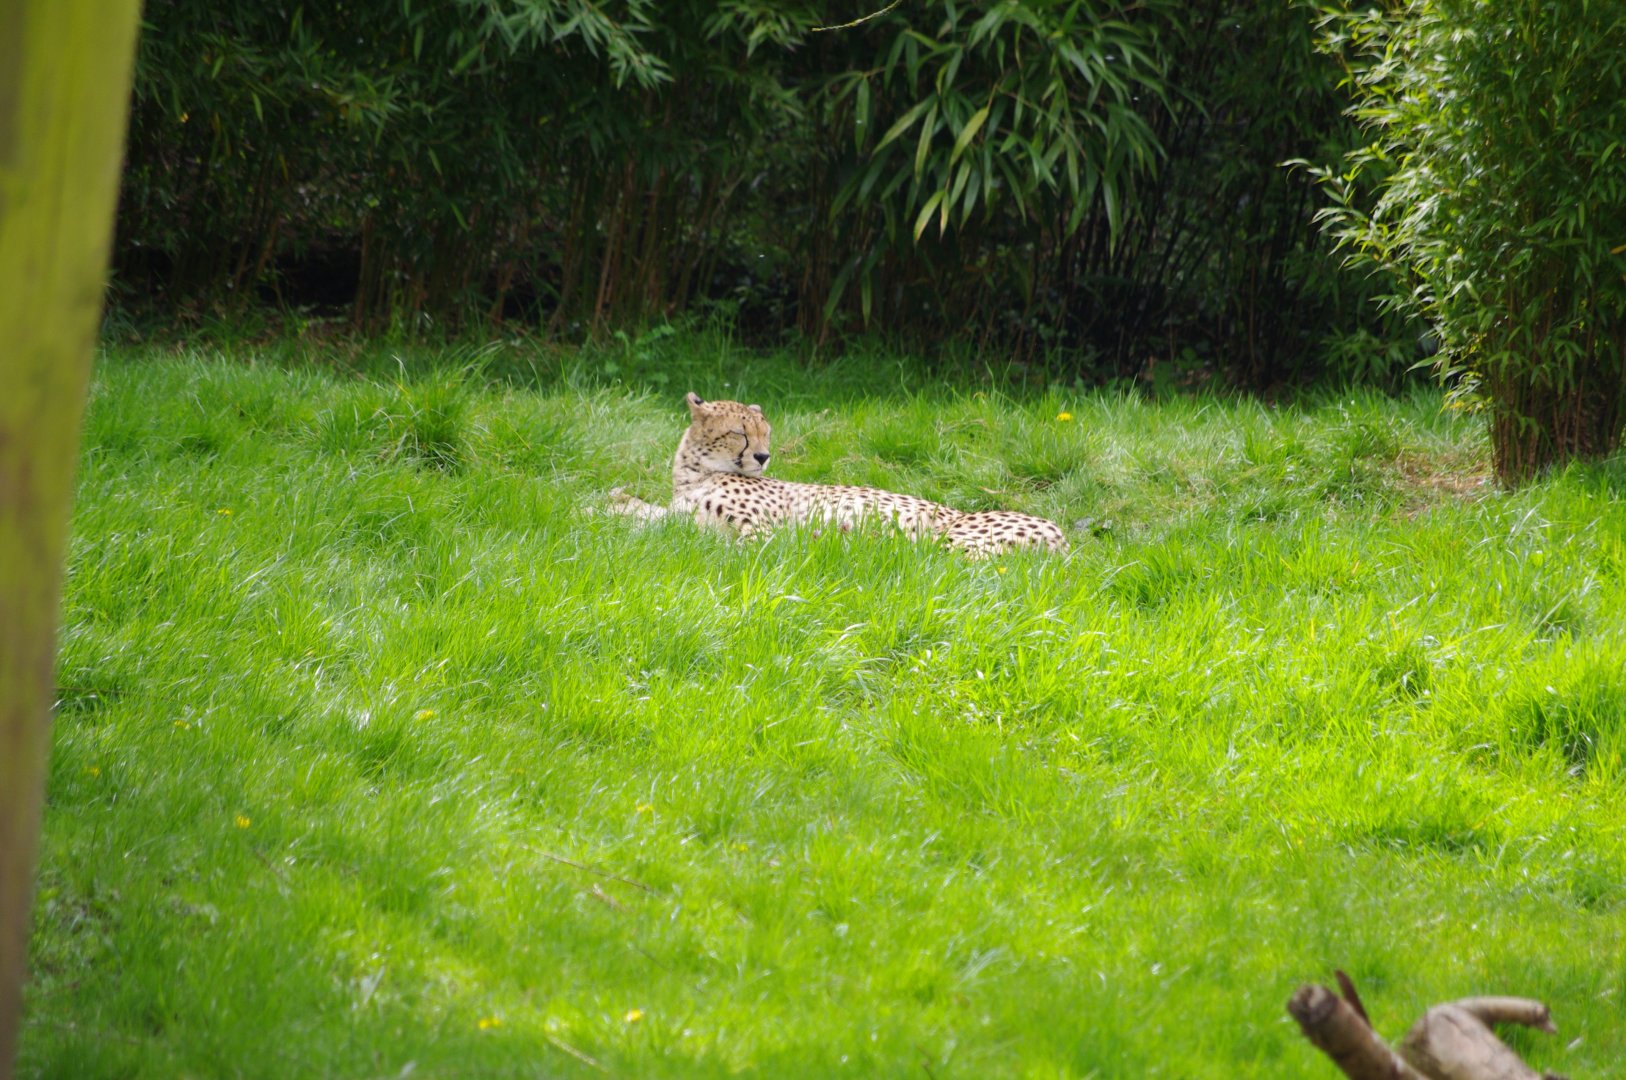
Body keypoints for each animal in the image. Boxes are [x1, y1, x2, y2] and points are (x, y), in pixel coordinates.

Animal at [608, 392, 1068, 557]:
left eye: (765, 433)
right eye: (739, 432)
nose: (763, 456)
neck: (695, 472)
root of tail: (1064, 541)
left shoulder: (760, 530)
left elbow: (742, 548)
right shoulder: (681, 517)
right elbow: (637, 511)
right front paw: (610, 505)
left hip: (952, 541)